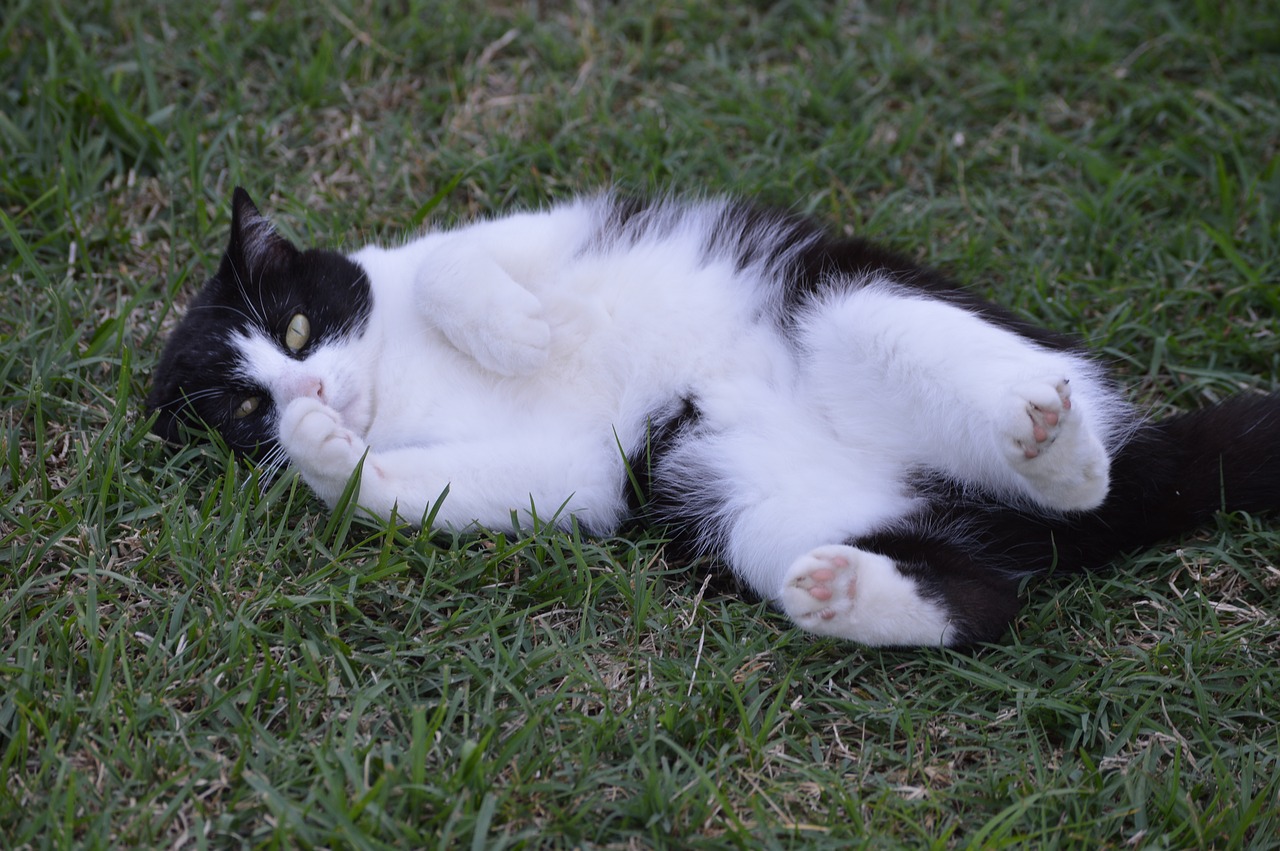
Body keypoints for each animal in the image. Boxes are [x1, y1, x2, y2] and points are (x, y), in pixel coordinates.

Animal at [147, 189, 1280, 647]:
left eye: (297, 327)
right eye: (245, 406)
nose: (311, 397)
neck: (399, 384)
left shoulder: (529, 231)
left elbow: (456, 268)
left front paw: (518, 331)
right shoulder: (578, 471)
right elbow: (426, 489)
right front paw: (330, 456)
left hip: (847, 299)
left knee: (1026, 410)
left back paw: (1049, 442)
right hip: (742, 498)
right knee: (983, 598)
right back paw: (849, 590)